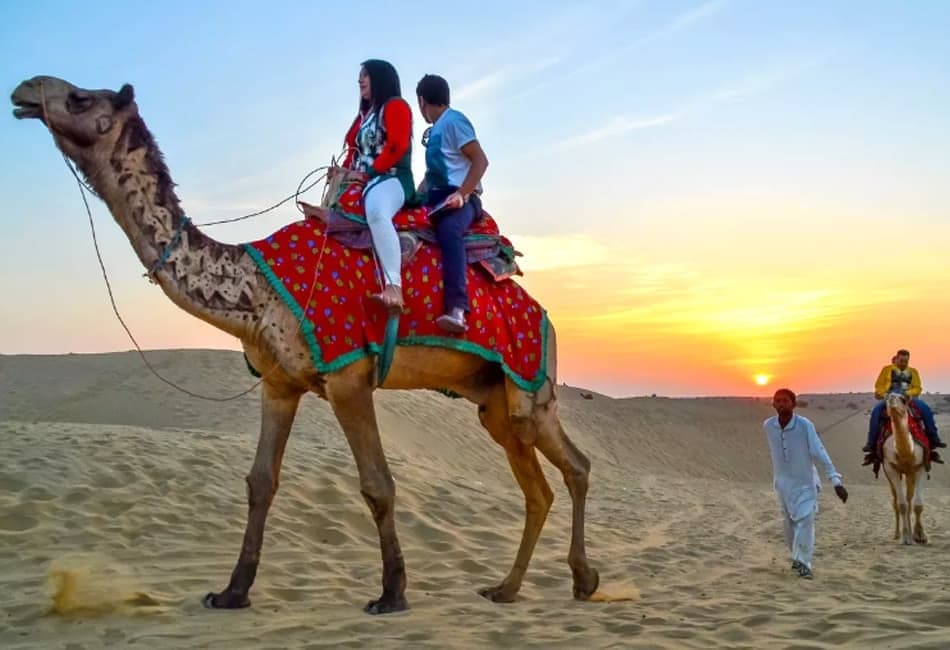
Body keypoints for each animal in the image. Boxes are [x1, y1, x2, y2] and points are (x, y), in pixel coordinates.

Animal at [9, 76, 604, 612]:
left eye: (81, 98)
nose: (23, 89)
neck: (256, 288)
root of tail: (545, 316)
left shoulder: (347, 376)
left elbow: (377, 484)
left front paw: (392, 594)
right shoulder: (279, 384)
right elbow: (260, 481)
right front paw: (232, 592)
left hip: (530, 384)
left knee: (574, 466)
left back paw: (582, 579)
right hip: (493, 400)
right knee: (539, 487)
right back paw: (508, 589)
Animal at [880, 392, 932, 544]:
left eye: (903, 399)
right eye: (886, 399)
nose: (891, 398)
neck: (906, 453)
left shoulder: (920, 466)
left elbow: (918, 505)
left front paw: (921, 536)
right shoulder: (891, 468)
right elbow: (901, 505)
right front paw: (905, 537)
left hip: (910, 474)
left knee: (909, 499)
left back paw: (912, 533)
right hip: (891, 475)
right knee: (896, 501)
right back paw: (897, 534)